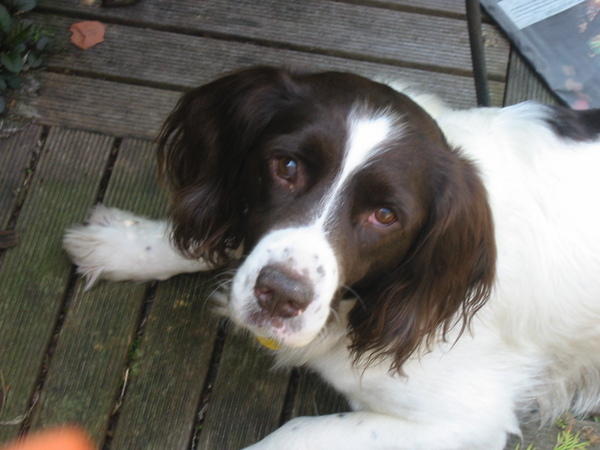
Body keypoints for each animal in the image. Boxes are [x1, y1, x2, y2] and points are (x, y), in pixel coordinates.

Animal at [64, 67, 600, 450]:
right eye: (286, 166)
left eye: (385, 215)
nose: (280, 297)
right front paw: (125, 242)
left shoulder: (466, 420)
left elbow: (295, 431)